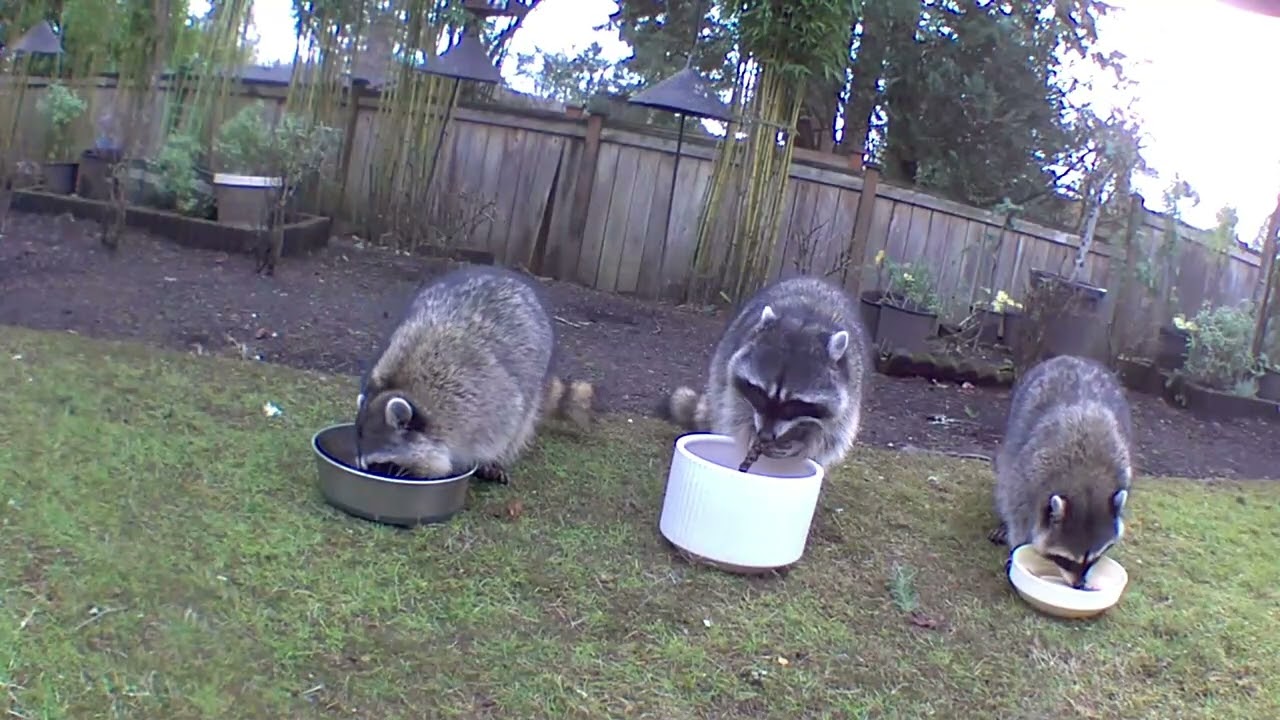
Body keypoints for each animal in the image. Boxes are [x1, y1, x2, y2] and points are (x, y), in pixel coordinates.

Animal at [354, 265, 594, 484]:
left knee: (523, 419)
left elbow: (502, 429)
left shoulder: (487, 404)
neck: (400, 387)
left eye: (380, 464)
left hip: (536, 365)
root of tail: (501, 274)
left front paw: (487, 460)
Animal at [666, 276, 871, 468]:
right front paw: (749, 433)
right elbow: (735, 410)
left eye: (793, 405)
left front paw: (803, 445)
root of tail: (813, 280)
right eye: (759, 393)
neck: (805, 325)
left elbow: (832, 434)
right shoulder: (733, 377)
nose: (764, 436)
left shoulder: (849, 391)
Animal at [988, 354, 1133, 589]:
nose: (1078, 586)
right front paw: (1016, 545)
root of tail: (1073, 358)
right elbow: (1017, 511)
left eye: (1095, 558)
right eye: (1065, 560)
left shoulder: (1123, 471)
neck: (1086, 482)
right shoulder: (1027, 477)